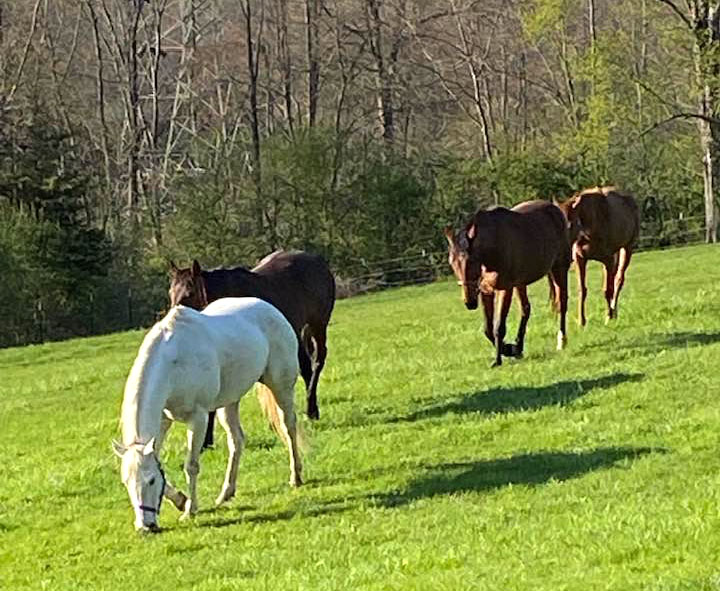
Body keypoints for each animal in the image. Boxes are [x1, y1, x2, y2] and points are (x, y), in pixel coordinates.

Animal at [112, 297, 303, 533]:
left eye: (151, 481)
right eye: (126, 482)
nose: (145, 527)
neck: (174, 362)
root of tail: (270, 308)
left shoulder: (198, 418)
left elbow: (191, 466)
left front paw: (190, 510)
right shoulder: (163, 420)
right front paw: (181, 500)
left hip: (281, 388)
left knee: (289, 428)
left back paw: (296, 477)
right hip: (229, 403)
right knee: (236, 441)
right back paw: (225, 494)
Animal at [169, 250, 335, 448]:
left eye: (190, 293)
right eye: (171, 293)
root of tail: (317, 260)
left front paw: (205, 441)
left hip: (317, 325)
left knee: (317, 361)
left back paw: (311, 410)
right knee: (306, 368)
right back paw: (310, 410)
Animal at [444, 200, 571, 367]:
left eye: (471, 261)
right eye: (452, 262)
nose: (469, 302)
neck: (494, 247)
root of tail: (554, 208)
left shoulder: (504, 289)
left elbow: (498, 327)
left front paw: (498, 360)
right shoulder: (486, 291)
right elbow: (488, 328)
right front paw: (510, 348)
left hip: (559, 268)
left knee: (562, 303)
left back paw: (561, 341)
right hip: (521, 283)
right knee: (525, 309)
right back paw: (518, 347)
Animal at [557, 186, 639, 326]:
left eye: (569, 224)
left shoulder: (607, 260)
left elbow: (607, 290)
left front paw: (608, 317)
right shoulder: (580, 259)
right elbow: (582, 290)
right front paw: (582, 322)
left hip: (627, 248)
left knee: (618, 279)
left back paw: (612, 311)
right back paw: (614, 312)